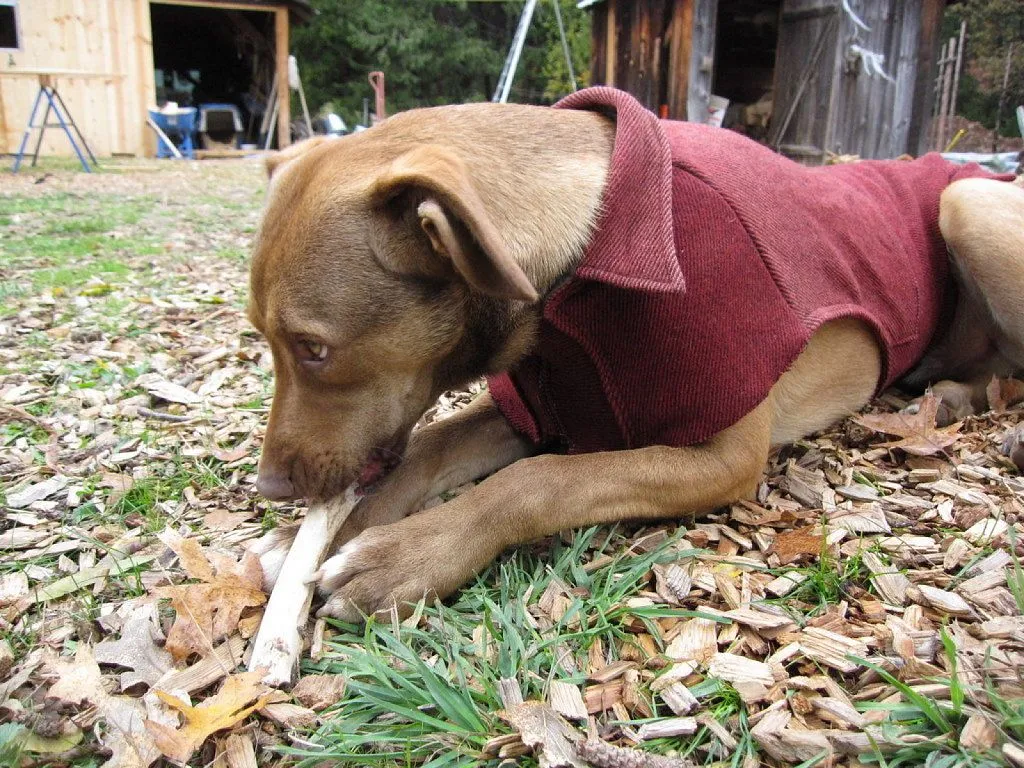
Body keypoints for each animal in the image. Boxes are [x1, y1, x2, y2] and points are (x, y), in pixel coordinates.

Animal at [247, 87, 1024, 622]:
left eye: (314, 349)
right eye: (264, 337)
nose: (270, 488)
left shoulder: (723, 458)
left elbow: (537, 481)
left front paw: (406, 556)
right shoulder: (544, 402)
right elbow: (431, 446)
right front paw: (304, 540)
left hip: (968, 199)